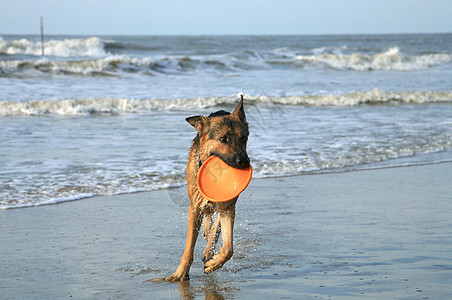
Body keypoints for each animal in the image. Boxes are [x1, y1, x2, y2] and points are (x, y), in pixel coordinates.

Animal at [166, 95, 251, 282]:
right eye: (223, 139)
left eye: (244, 139)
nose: (244, 162)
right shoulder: (194, 209)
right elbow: (189, 246)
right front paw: (180, 273)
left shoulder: (228, 206)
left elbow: (228, 248)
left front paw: (213, 263)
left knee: (216, 225)